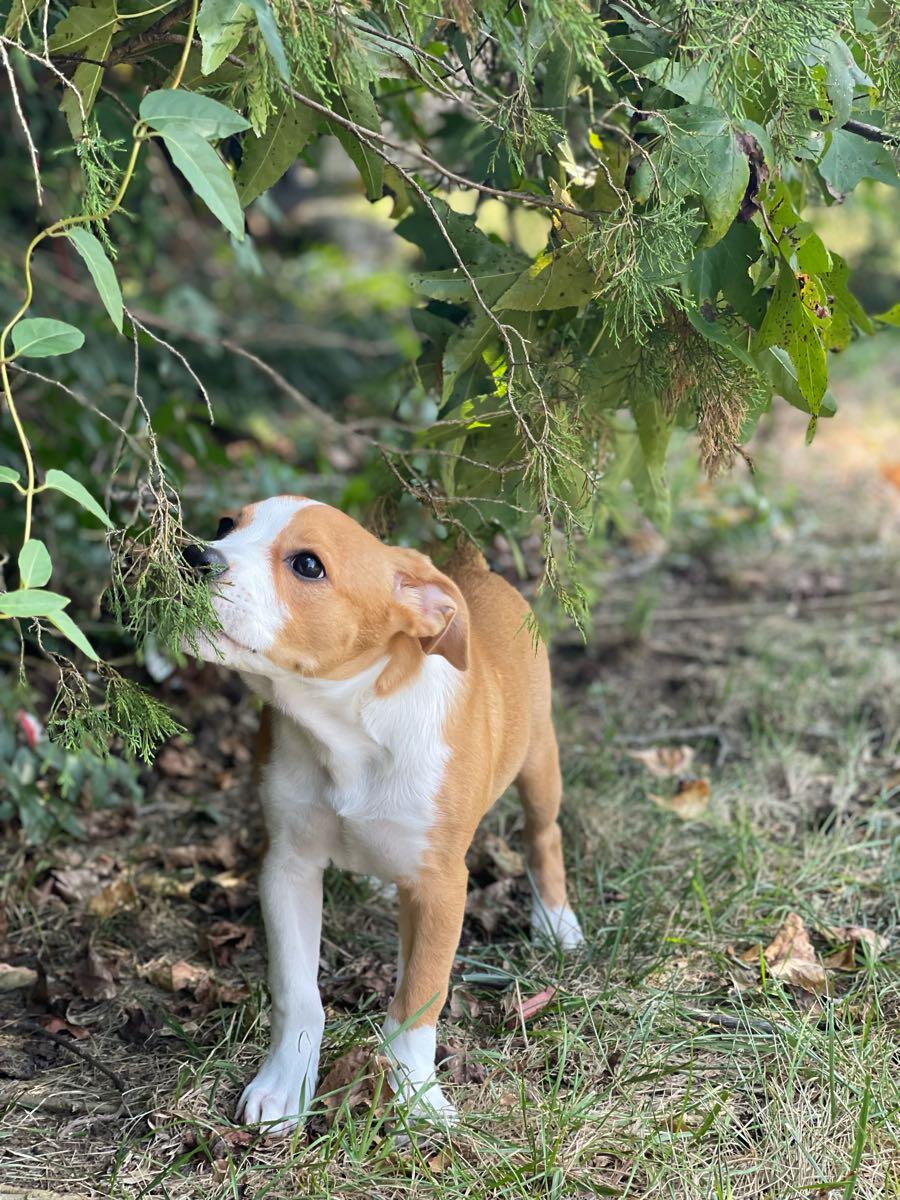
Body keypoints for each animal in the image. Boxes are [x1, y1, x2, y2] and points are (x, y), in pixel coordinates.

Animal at [187, 492, 585, 1128]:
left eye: (307, 565)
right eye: (227, 526)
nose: (194, 556)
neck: (346, 729)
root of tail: (473, 569)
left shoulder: (441, 884)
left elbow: (420, 999)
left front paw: (415, 1094)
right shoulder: (288, 867)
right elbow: (297, 993)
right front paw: (285, 1083)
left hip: (539, 759)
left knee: (543, 834)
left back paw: (555, 921)